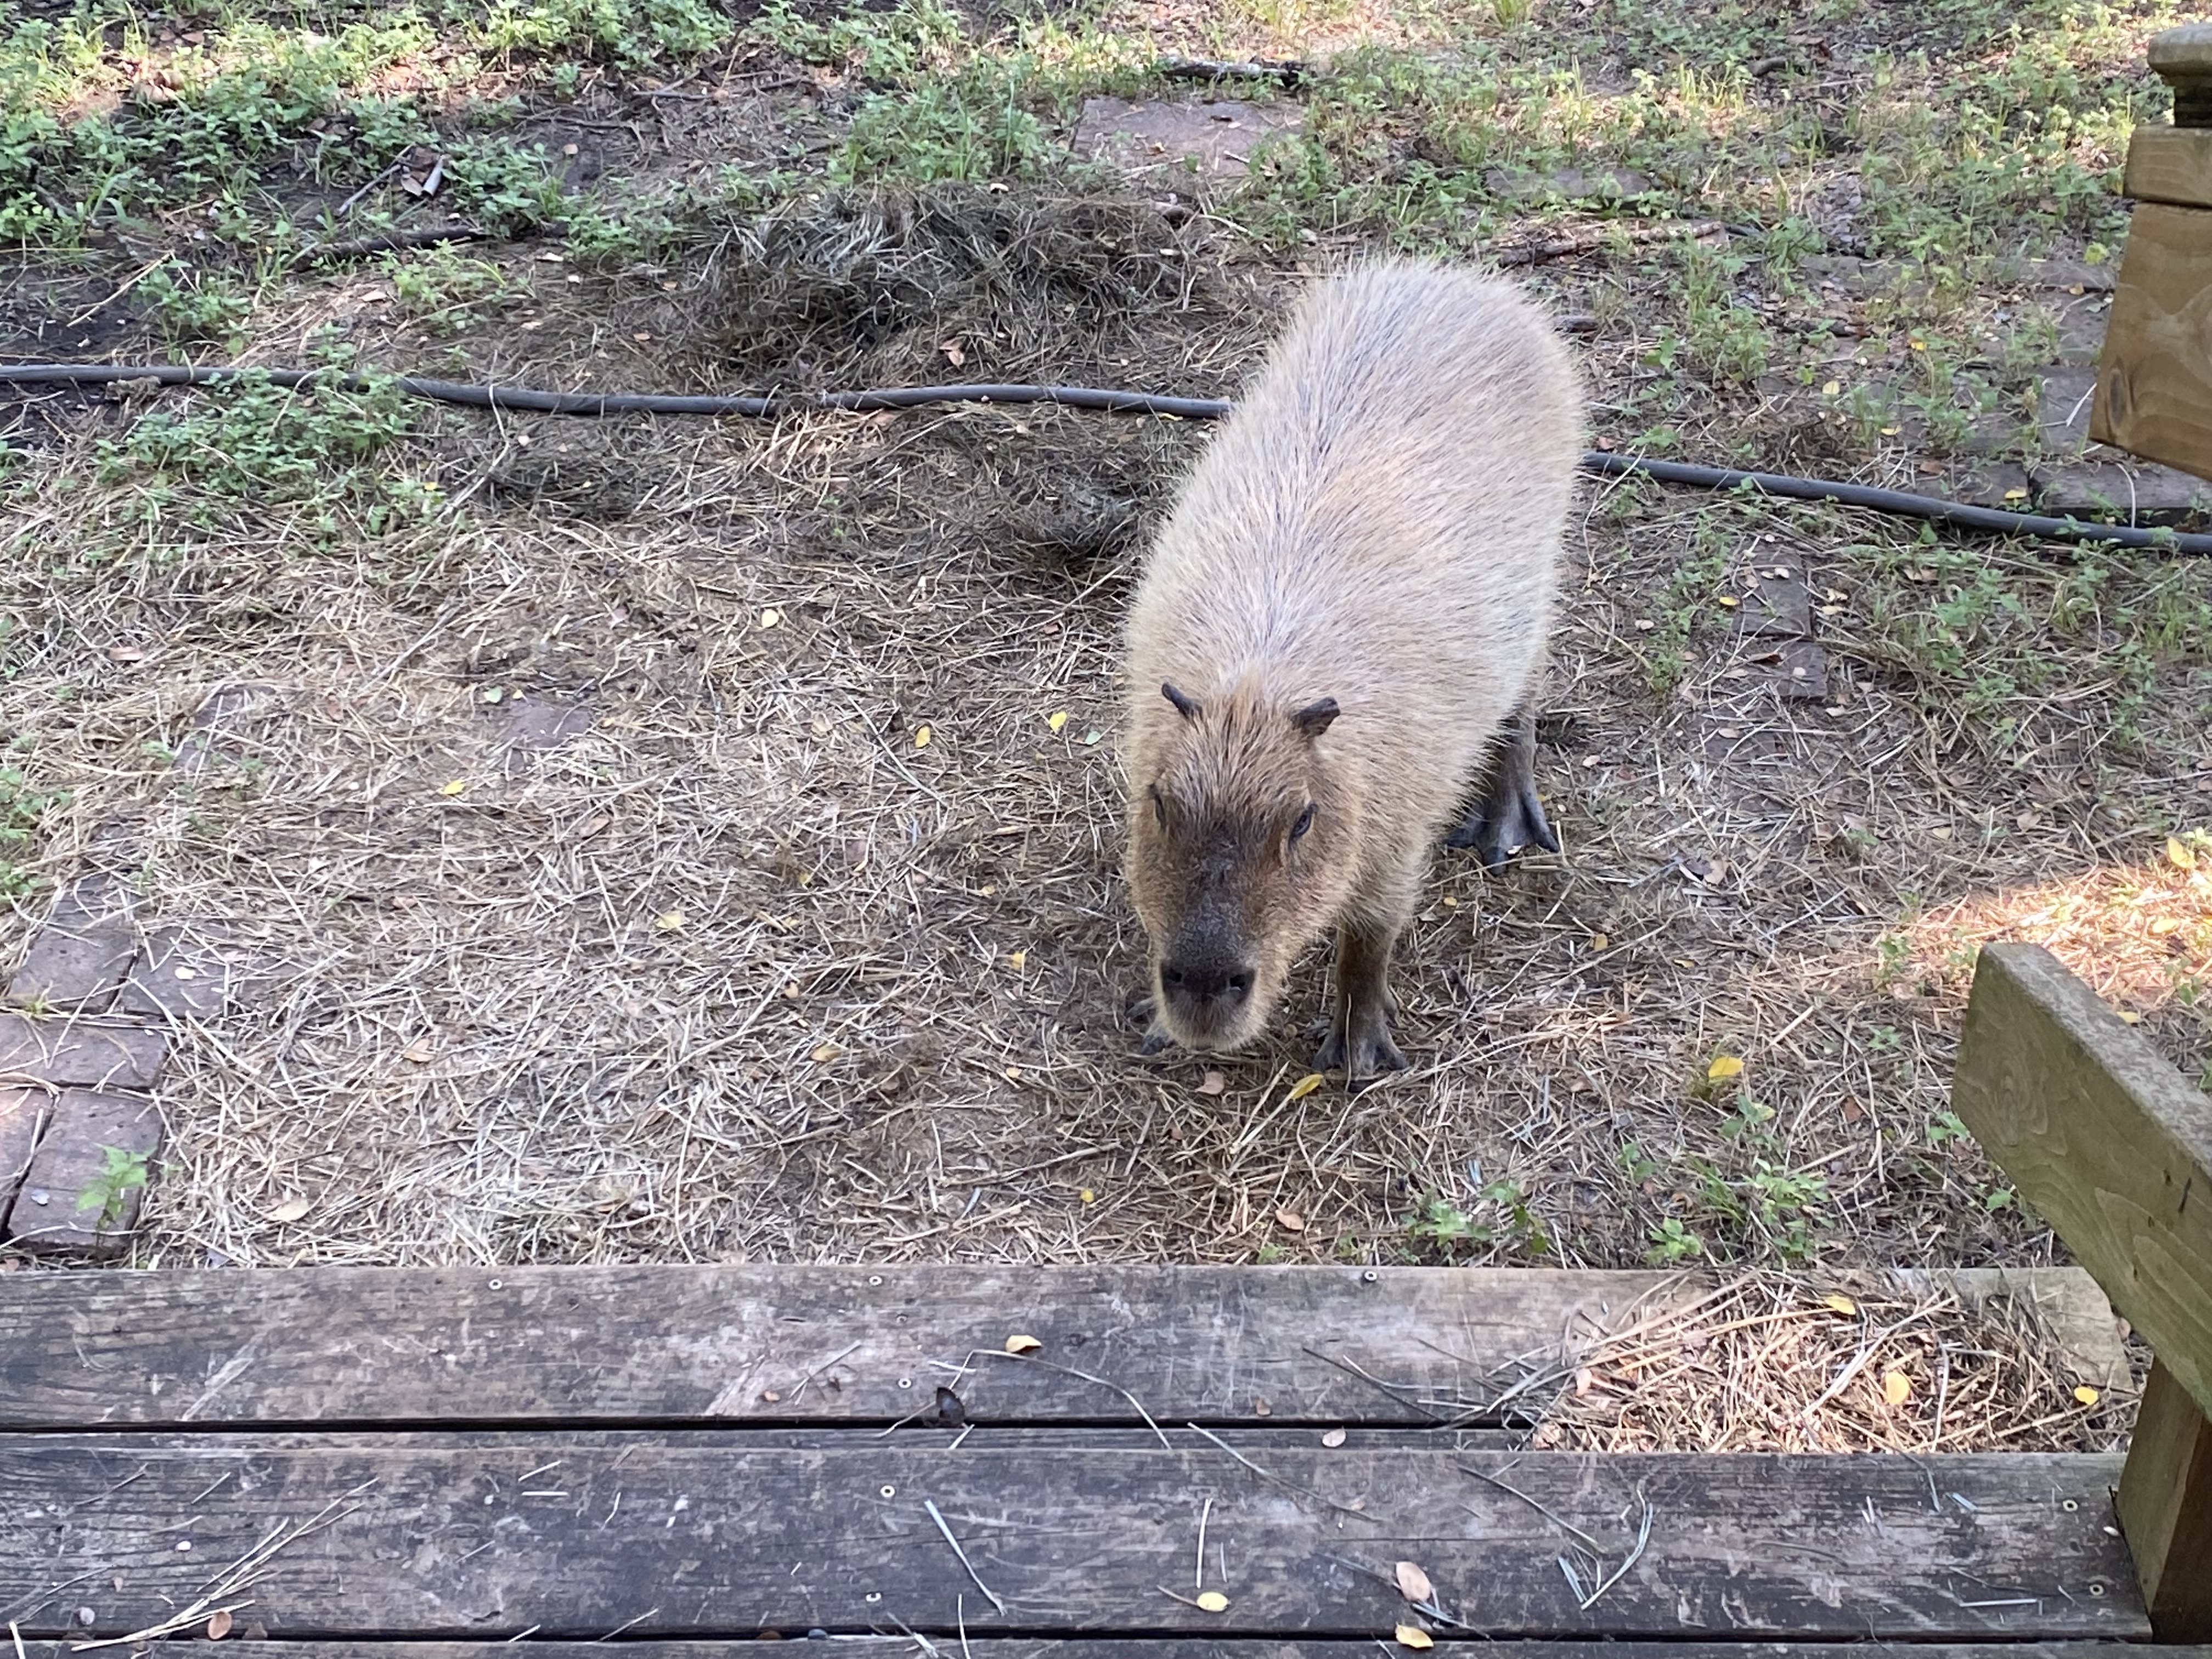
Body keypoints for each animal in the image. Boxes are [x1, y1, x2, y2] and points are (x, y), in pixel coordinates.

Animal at [1120, 260, 1584, 1088]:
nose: (1203, 987)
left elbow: (1373, 933)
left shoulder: (1399, 826)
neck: (1260, 683)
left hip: (1536, 592)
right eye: (1161, 803)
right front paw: (1153, 1020)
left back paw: (1503, 831)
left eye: (1302, 819)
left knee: (1523, 705)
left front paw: (1360, 1051)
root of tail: (1470, 281)